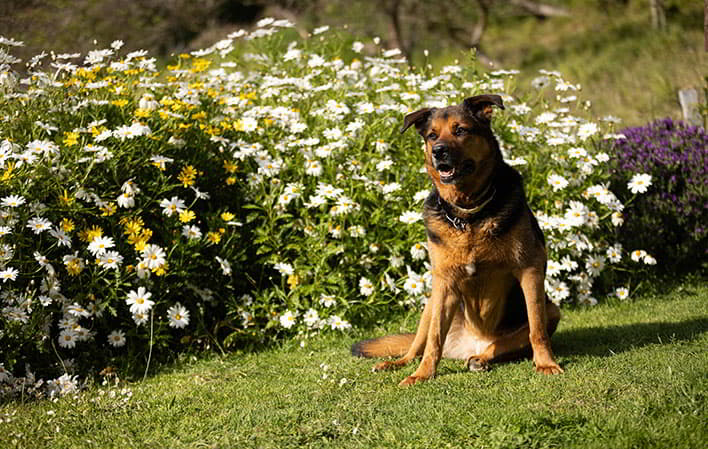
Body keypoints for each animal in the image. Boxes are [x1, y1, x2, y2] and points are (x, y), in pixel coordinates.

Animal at [352, 94, 563, 386]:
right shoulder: (445, 283)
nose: (438, 151)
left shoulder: (529, 271)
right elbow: (433, 340)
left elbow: (536, 329)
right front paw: (423, 374)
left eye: (460, 130)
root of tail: (467, 344)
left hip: (552, 310)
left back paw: (481, 359)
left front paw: (546, 363)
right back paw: (398, 363)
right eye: (432, 135)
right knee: (417, 346)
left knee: (502, 345)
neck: (468, 215)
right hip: (430, 304)